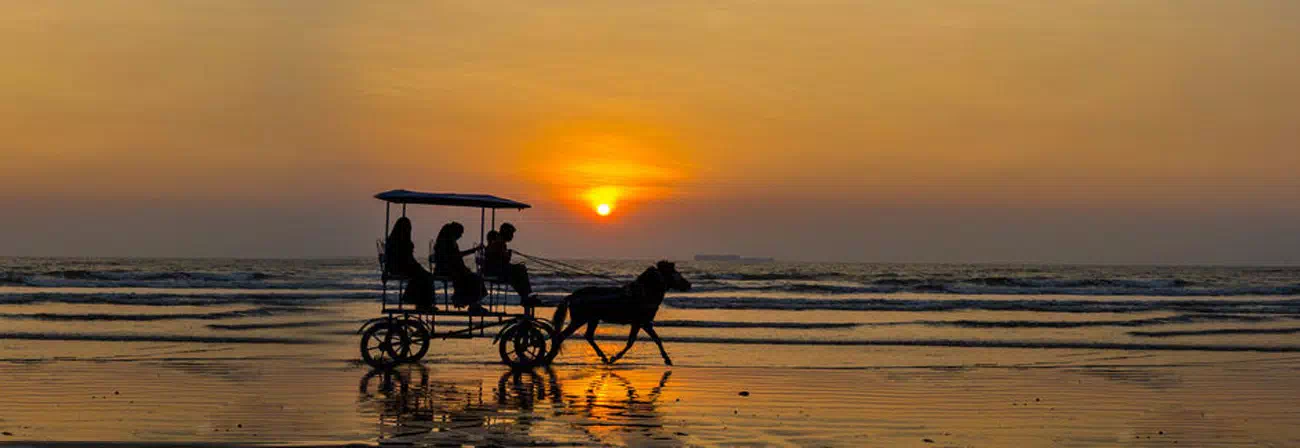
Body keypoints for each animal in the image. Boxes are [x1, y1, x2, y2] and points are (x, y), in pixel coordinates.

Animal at [548, 259, 691, 363]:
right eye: (676, 274)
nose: (688, 285)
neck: (644, 293)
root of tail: (572, 295)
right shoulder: (640, 322)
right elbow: (632, 342)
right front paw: (615, 357)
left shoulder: (643, 323)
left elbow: (655, 339)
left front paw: (667, 359)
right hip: (579, 320)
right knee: (562, 336)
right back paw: (549, 358)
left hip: (592, 319)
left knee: (588, 336)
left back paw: (603, 357)